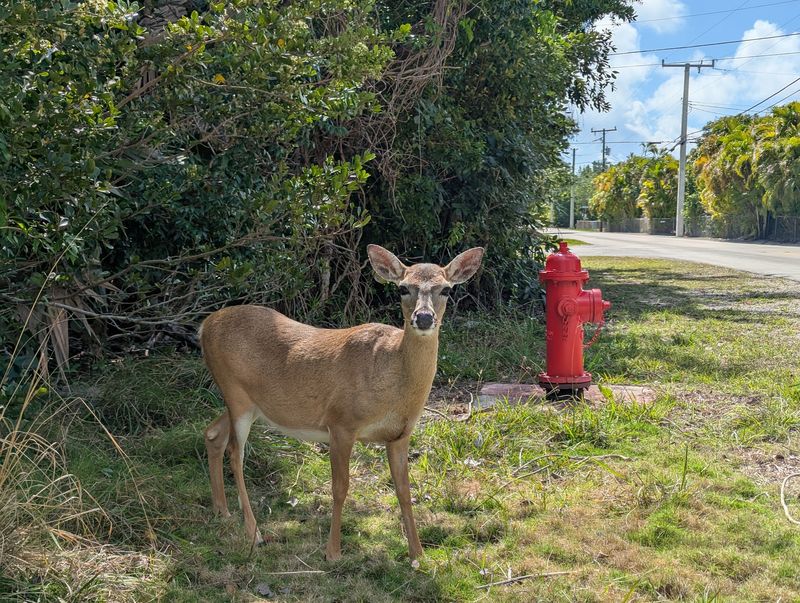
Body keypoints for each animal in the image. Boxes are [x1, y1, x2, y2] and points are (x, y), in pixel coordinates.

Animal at [199, 244, 484, 561]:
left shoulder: (400, 434)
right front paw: (332, 552)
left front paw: (417, 553)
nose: (423, 318)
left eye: (446, 289)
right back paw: (254, 534)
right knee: (235, 454)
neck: (392, 378)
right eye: (402, 288)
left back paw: (222, 511)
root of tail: (204, 326)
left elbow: (404, 490)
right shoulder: (341, 422)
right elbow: (340, 487)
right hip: (236, 393)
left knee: (213, 433)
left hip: (247, 402)